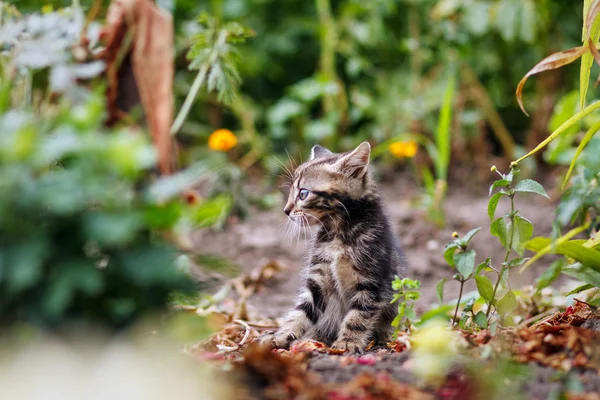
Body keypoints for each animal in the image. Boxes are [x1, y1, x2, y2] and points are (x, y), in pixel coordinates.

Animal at [268, 141, 408, 354]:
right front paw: (283, 334)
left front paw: (348, 342)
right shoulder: (318, 279)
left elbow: (358, 315)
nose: (286, 210)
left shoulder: (372, 283)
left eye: (303, 193)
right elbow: (301, 310)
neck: (337, 233)